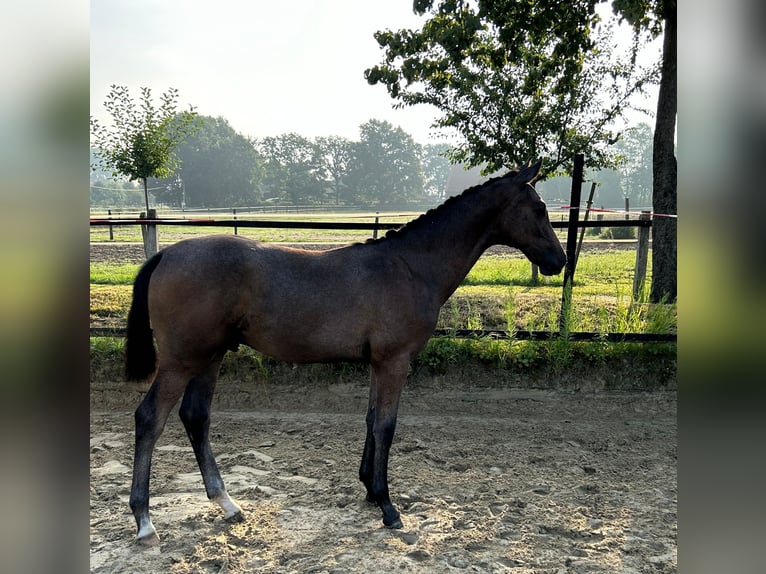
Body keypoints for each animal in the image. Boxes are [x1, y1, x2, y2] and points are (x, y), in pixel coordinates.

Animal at [126, 160, 568, 548]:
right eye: (539, 208)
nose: (558, 260)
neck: (409, 267)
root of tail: (166, 254)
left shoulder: (378, 363)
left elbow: (372, 420)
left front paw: (370, 491)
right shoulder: (395, 362)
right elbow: (387, 426)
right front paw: (388, 507)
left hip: (211, 356)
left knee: (195, 417)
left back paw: (227, 503)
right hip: (182, 360)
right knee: (150, 418)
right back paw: (145, 522)